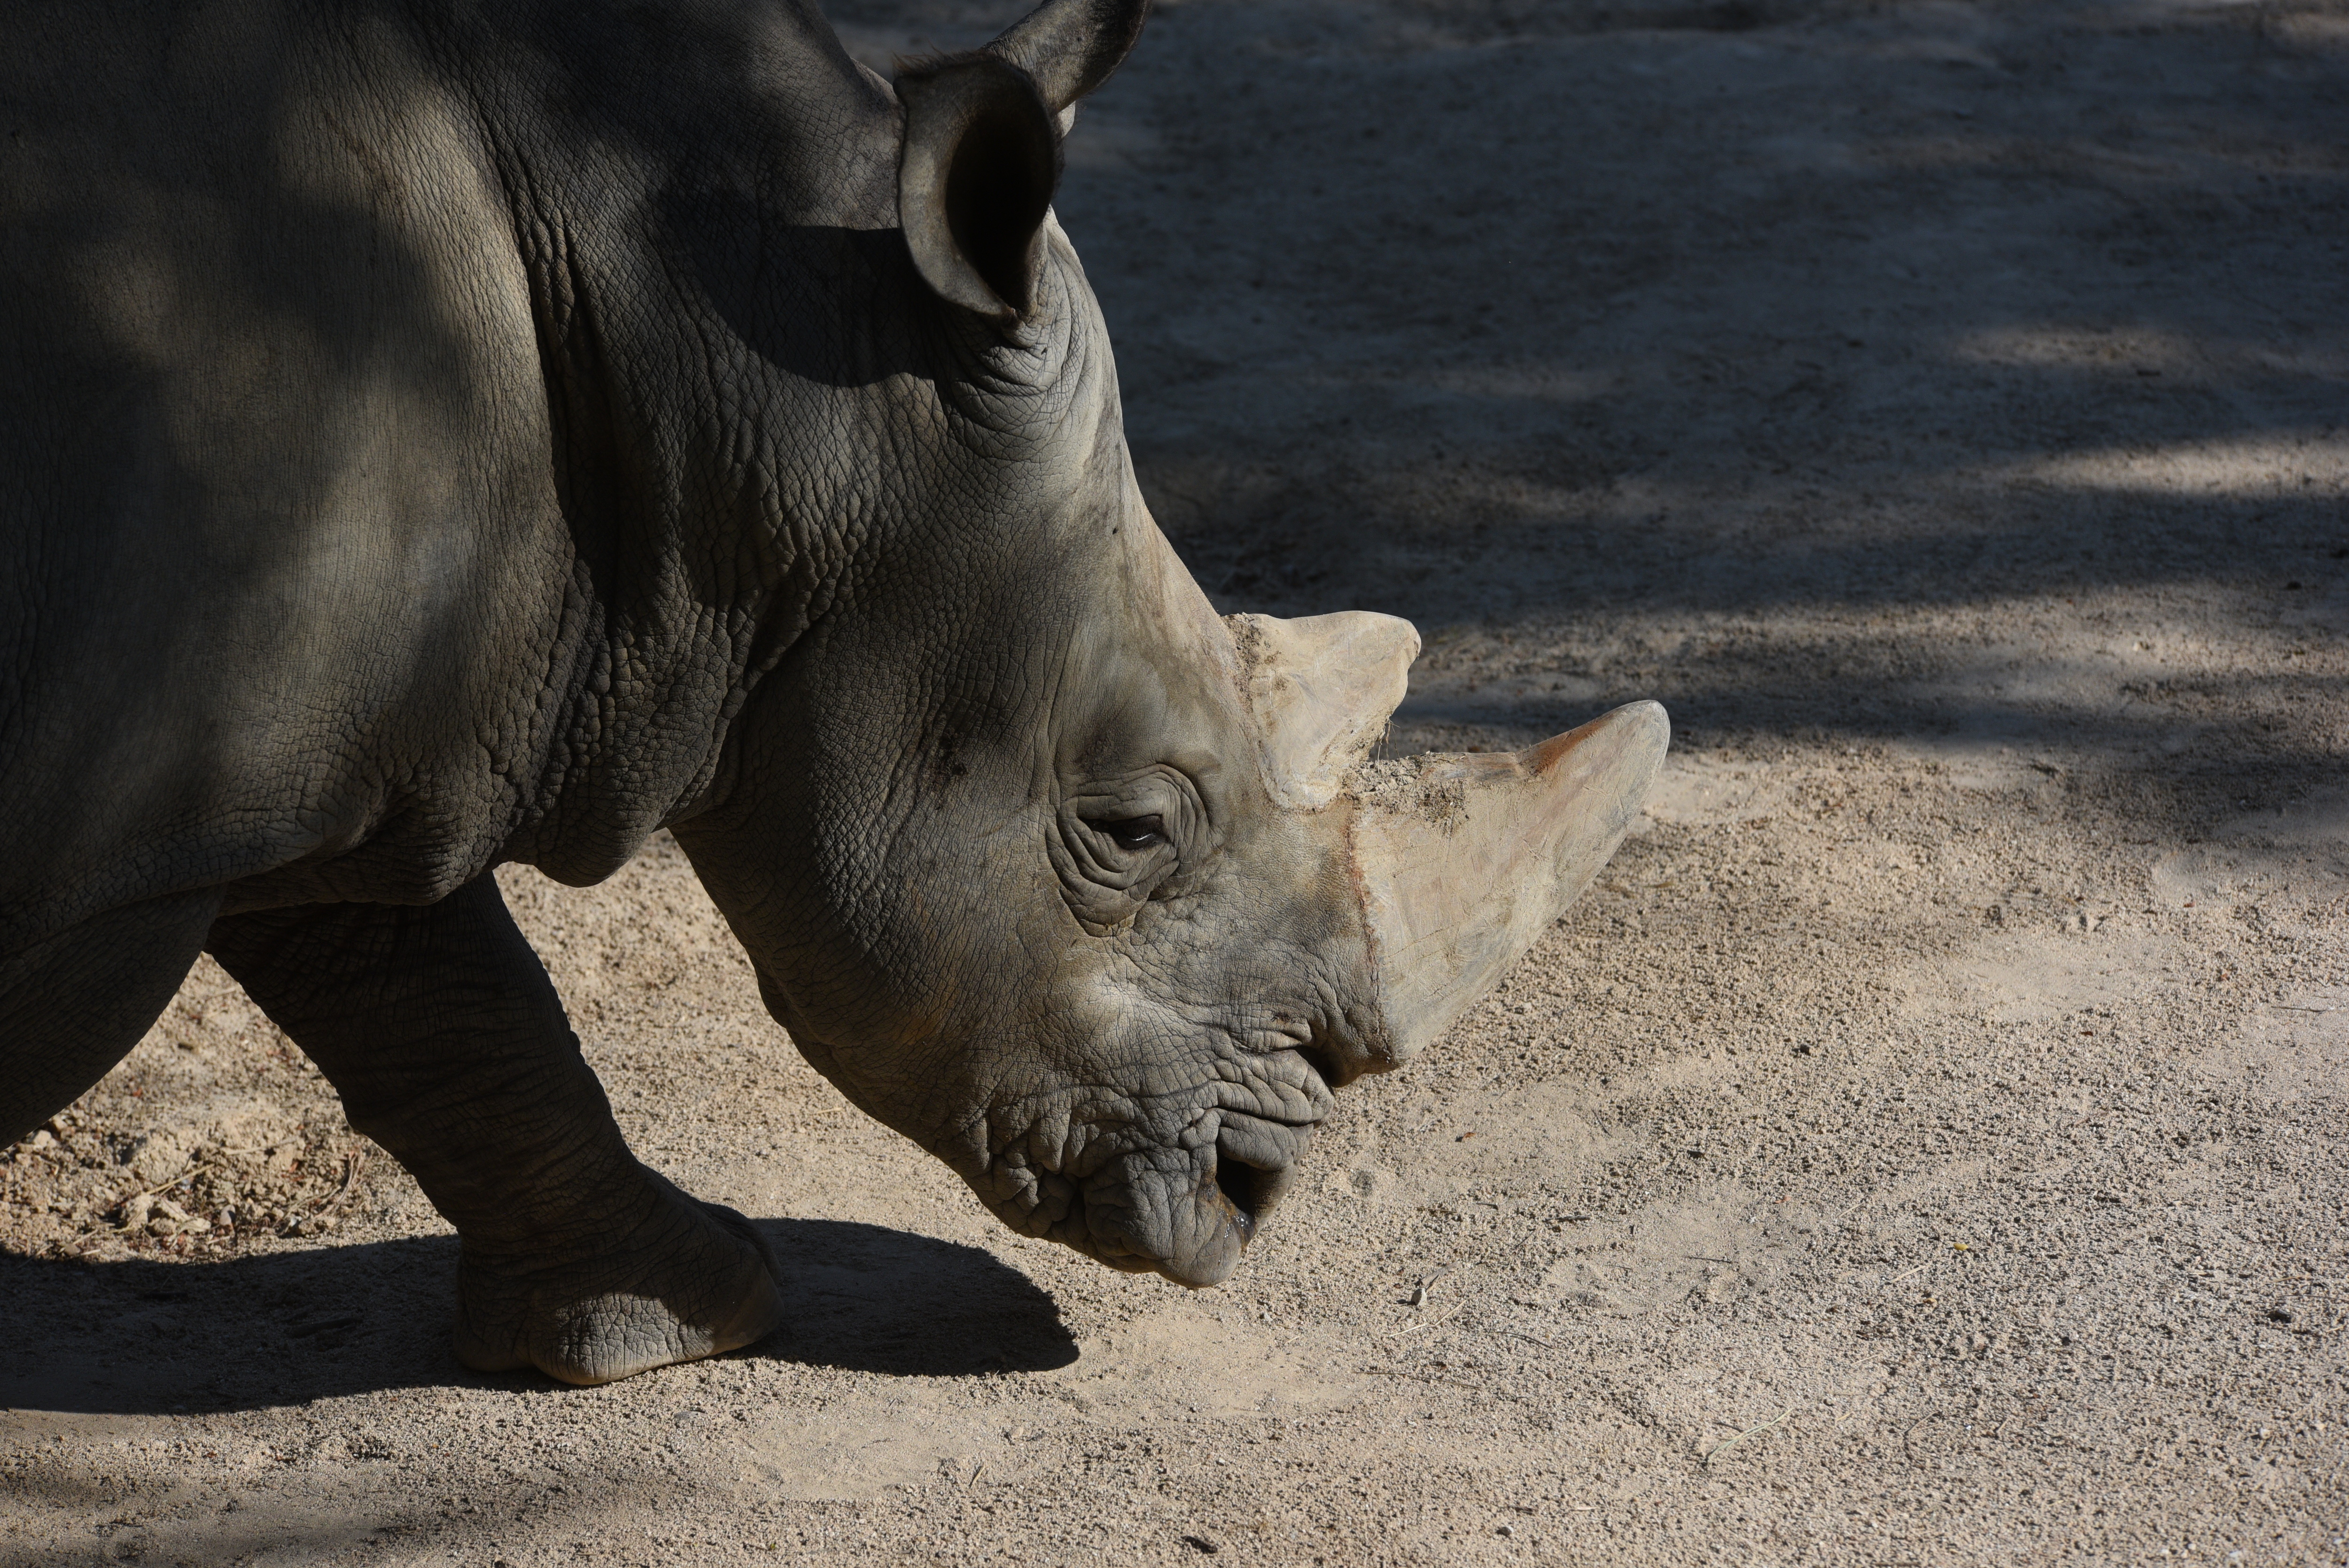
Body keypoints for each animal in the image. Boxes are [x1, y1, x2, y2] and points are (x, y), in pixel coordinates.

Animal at [0, 0, 1666, 1383]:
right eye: (1130, 829)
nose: (1250, 1195)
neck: (738, 362)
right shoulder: (139, 821)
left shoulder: (309, 743)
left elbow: (441, 989)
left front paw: (678, 1322)